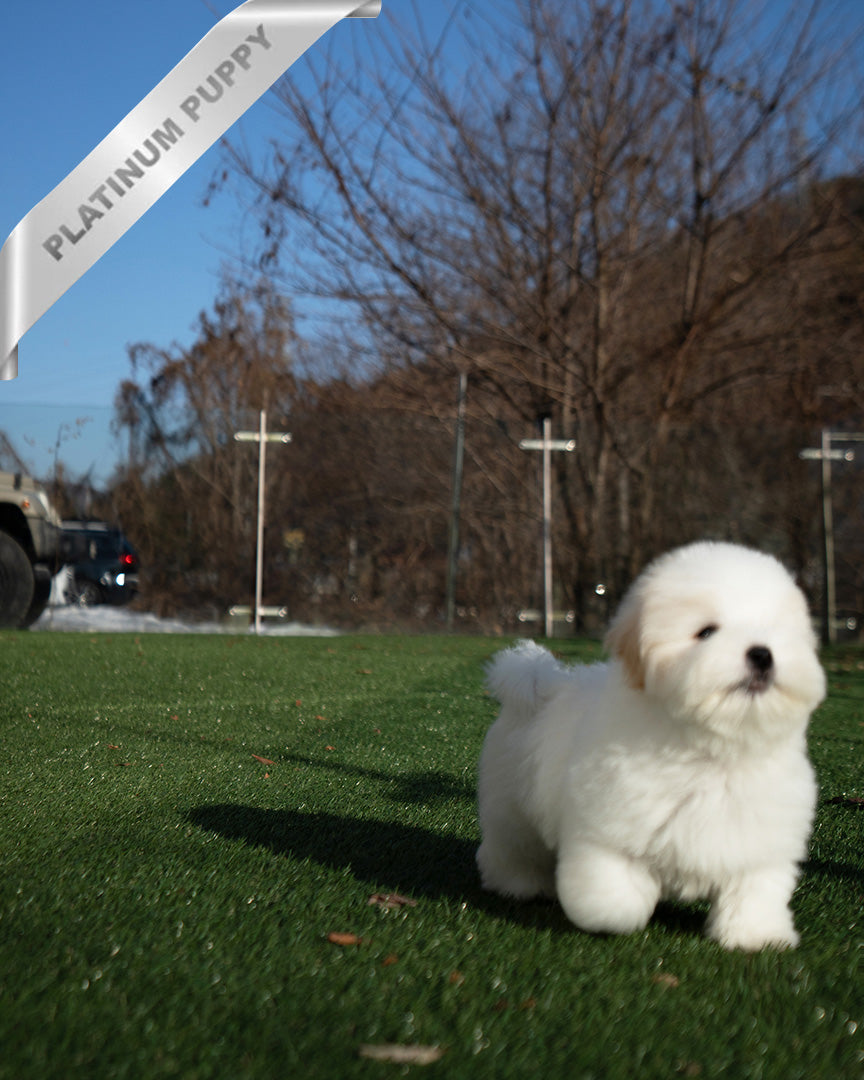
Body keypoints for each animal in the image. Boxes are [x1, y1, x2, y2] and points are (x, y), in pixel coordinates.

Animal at [475, 544, 825, 950]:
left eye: (776, 632)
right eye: (707, 632)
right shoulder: (608, 829)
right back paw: (519, 884)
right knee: (511, 847)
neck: (712, 749)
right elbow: (609, 891)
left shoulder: (759, 841)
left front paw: (757, 935)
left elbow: (754, 891)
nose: (762, 654)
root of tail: (540, 684)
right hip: (511, 806)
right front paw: (615, 915)